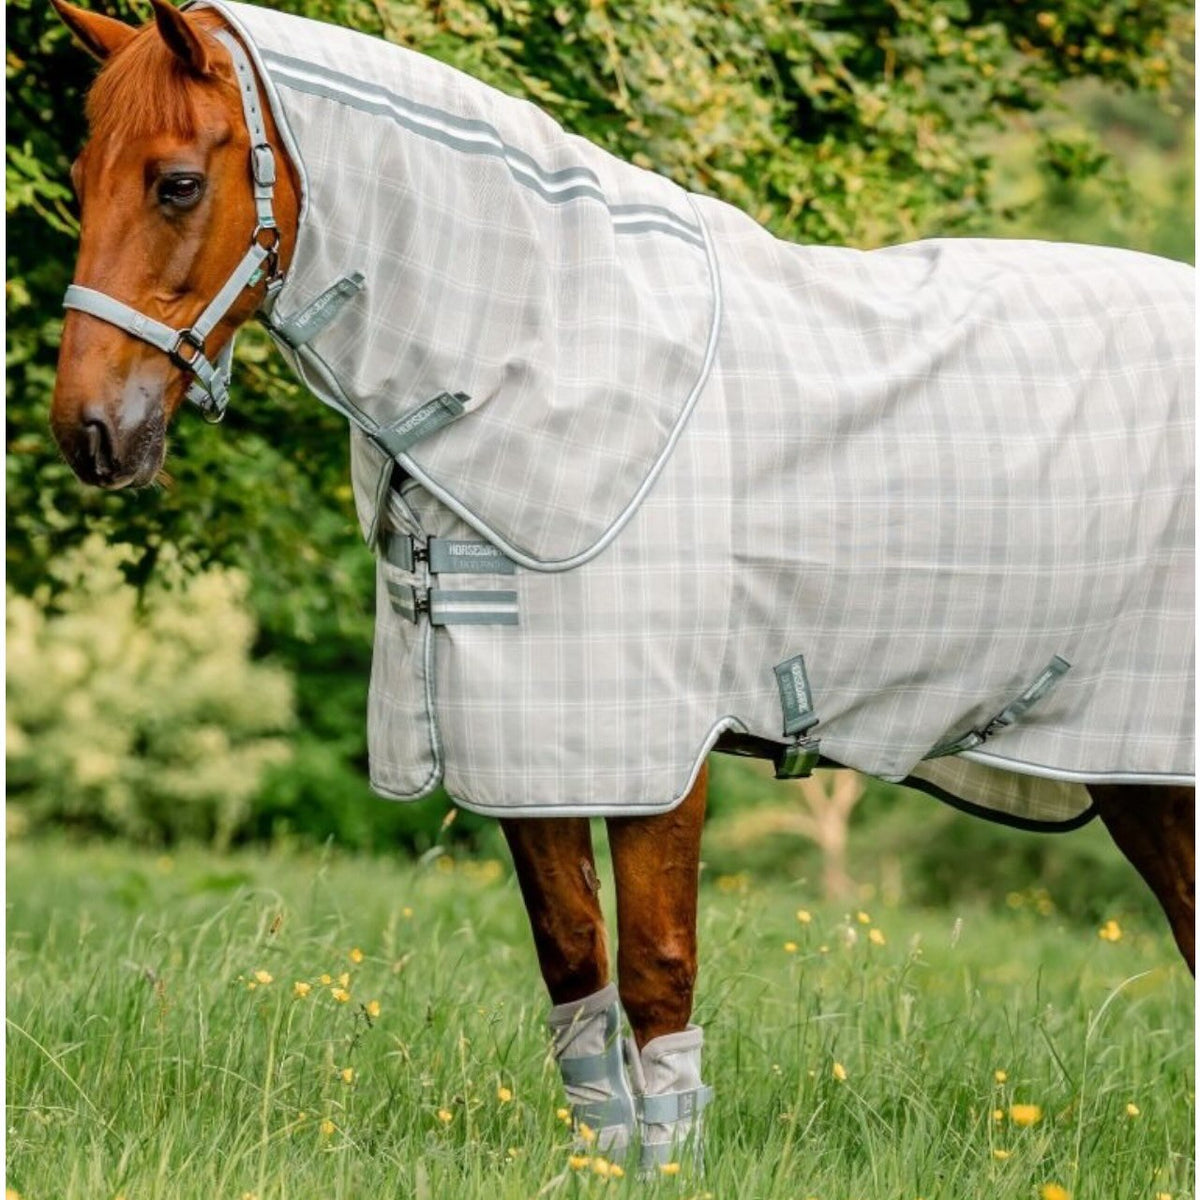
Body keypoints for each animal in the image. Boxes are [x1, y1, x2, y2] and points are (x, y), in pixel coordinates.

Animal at [48, 0, 1195, 1172]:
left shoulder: (657, 749)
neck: (551, 355)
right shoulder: (524, 745)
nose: (91, 434)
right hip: (1143, 779)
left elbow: (654, 968)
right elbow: (574, 962)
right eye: (80, 175)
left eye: (178, 182)